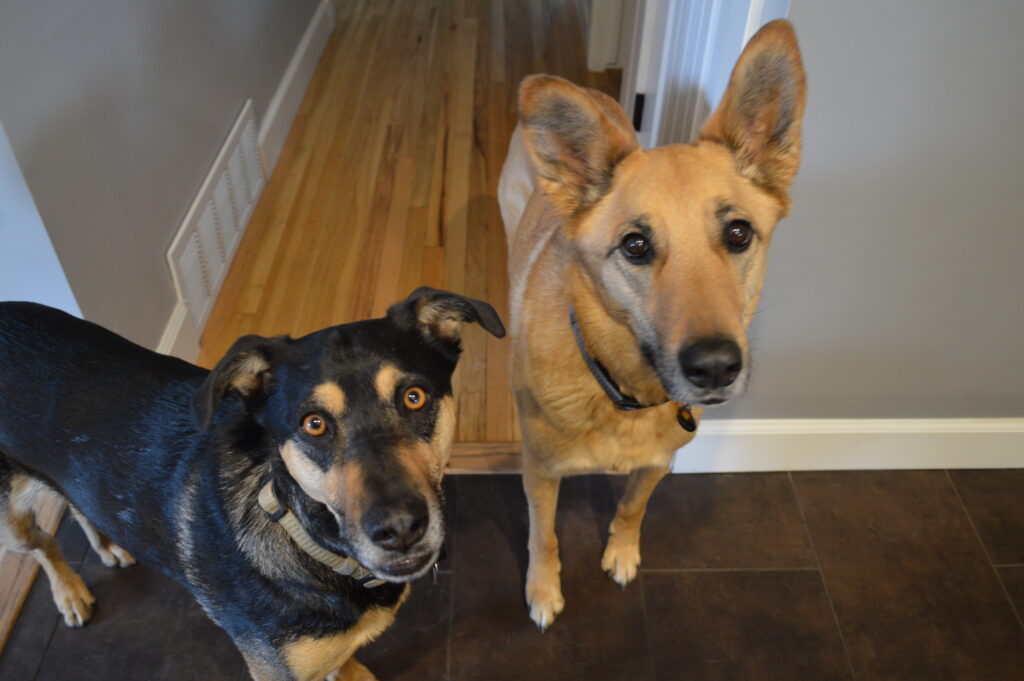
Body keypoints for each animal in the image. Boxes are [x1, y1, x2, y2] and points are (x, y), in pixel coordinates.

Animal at [0, 286, 503, 679]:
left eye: (414, 397)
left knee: (74, 501)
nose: (400, 530)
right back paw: (70, 593)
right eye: (314, 424)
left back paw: (106, 543)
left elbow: (341, 659)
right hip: (9, 521)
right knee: (41, 542)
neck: (302, 531)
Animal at [497, 19, 806, 626]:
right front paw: (543, 589)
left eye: (738, 233)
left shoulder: (658, 463)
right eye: (635, 245)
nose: (715, 368)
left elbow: (633, 506)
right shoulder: (540, 472)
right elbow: (544, 536)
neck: (622, 394)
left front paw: (621, 551)